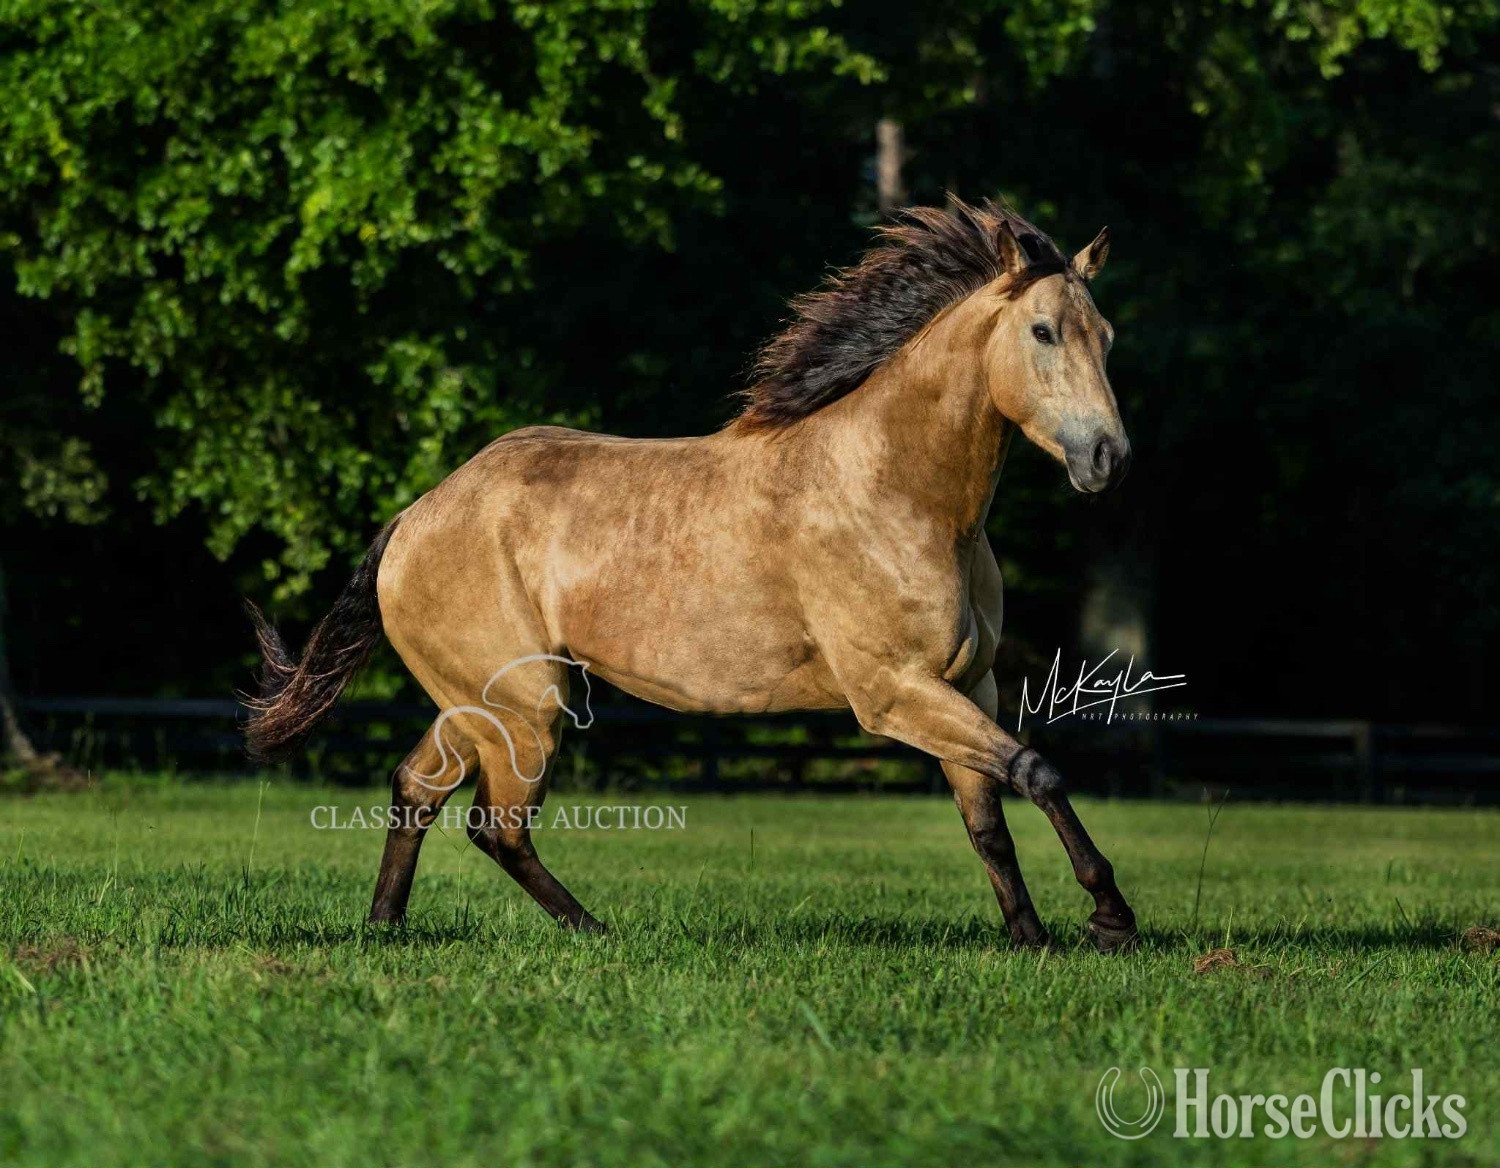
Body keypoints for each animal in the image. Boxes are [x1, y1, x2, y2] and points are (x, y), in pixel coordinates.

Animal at [245, 196, 1139, 952]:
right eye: (1043, 332)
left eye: (1105, 336)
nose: (1108, 457)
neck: (895, 490)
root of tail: (416, 516)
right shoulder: (894, 692)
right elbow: (1037, 769)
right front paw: (1109, 918)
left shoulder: (968, 683)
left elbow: (988, 819)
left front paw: (1031, 940)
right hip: (526, 707)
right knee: (495, 826)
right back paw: (594, 932)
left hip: (478, 703)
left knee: (416, 789)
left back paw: (385, 929)